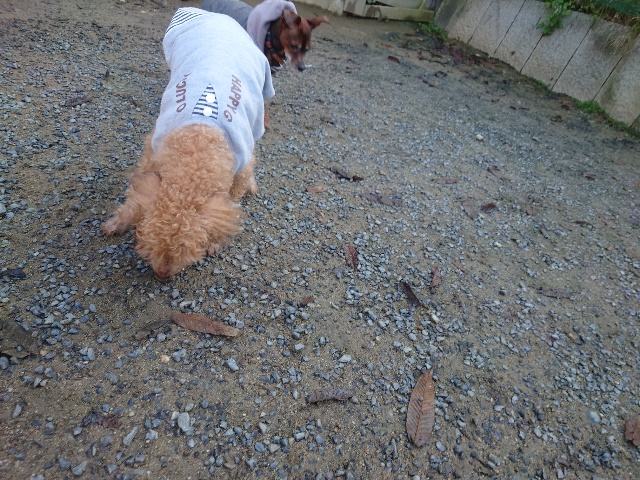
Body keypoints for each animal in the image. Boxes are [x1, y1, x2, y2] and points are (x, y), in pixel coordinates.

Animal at [101, 8, 274, 280]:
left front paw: (216, 241)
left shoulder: (242, 164)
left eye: (186, 247)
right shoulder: (152, 150)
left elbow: (234, 196)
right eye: (148, 237)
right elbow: (136, 197)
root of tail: (220, 17)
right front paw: (119, 221)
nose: (161, 274)